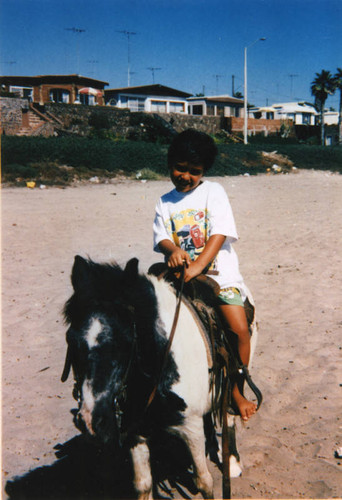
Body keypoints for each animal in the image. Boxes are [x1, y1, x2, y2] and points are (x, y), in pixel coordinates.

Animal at [62, 256, 260, 498]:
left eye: (126, 341)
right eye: (71, 339)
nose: (92, 421)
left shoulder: (191, 427)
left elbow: (204, 482)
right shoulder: (135, 432)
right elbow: (143, 484)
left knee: (229, 415)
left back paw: (231, 461)